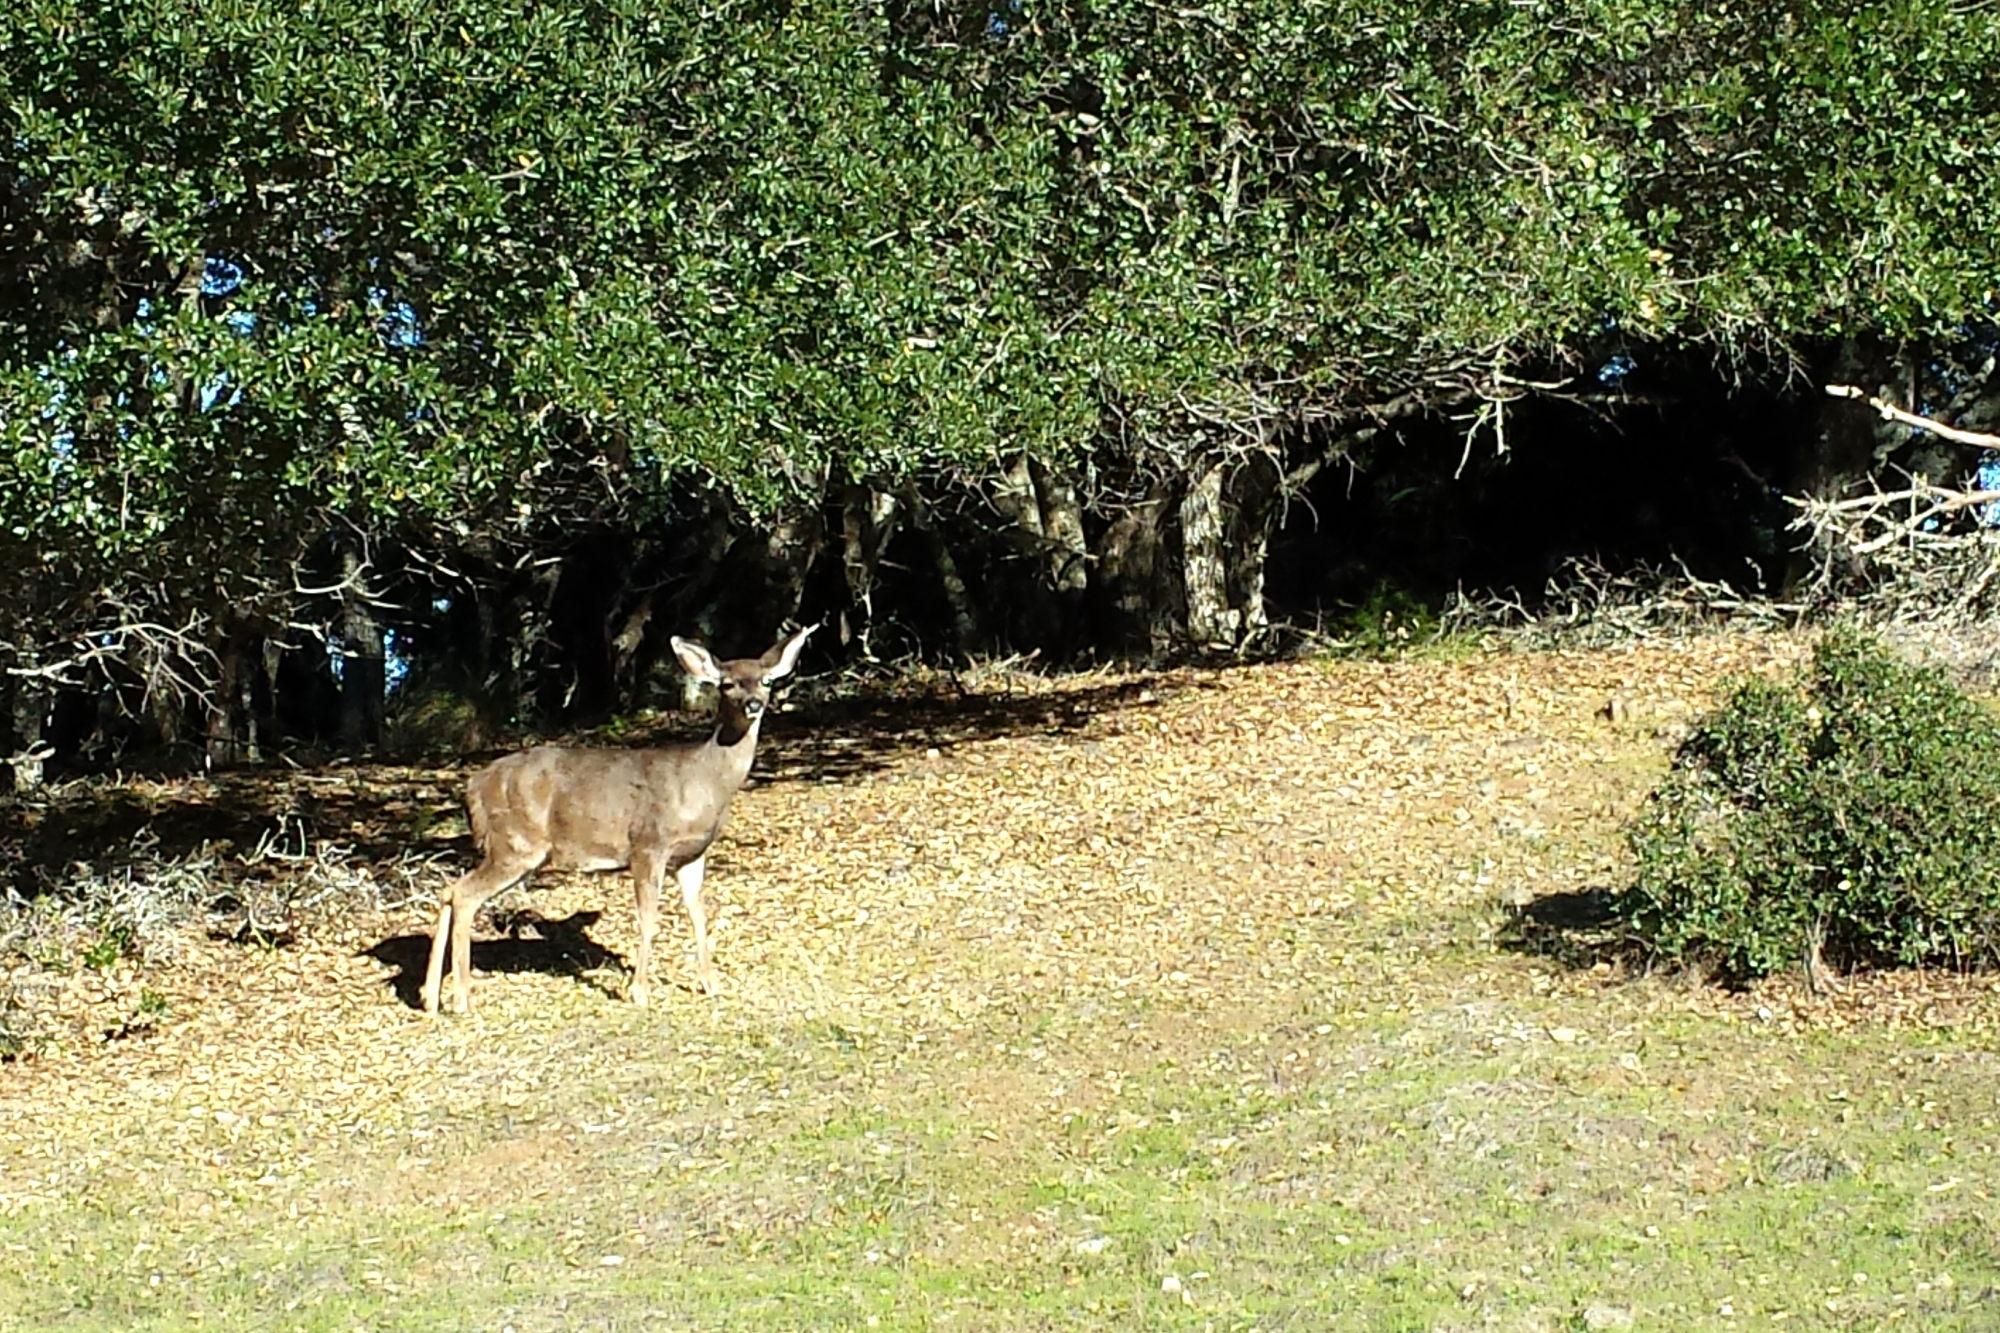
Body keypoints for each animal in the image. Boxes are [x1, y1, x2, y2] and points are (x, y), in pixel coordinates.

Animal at [424, 620, 820, 1008]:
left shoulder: (692, 854)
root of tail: (473, 786)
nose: (754, 704)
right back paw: (461, 998)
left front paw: (711, 984)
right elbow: (648, 917)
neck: (704, 782)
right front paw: (640, 992)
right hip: (515, 843)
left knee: (450, 890)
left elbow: (698, 913)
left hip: (515, 849)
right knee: (465, 895)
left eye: (767, 680)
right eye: (727, 683)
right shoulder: (648, 844)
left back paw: (429, 996)